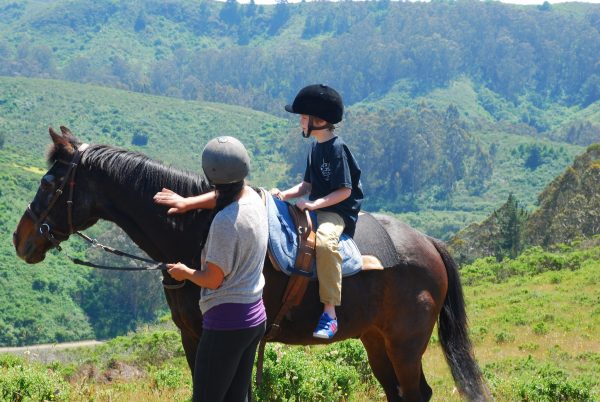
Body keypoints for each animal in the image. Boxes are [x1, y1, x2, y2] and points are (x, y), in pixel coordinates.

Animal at [14, 128, 490, 402]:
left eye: (50, 183)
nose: (21, 240)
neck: (197, 231)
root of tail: (429, 244)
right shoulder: (194, 337)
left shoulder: (218, 337)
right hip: (376, 340)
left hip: (405, 343)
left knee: (416, 392)